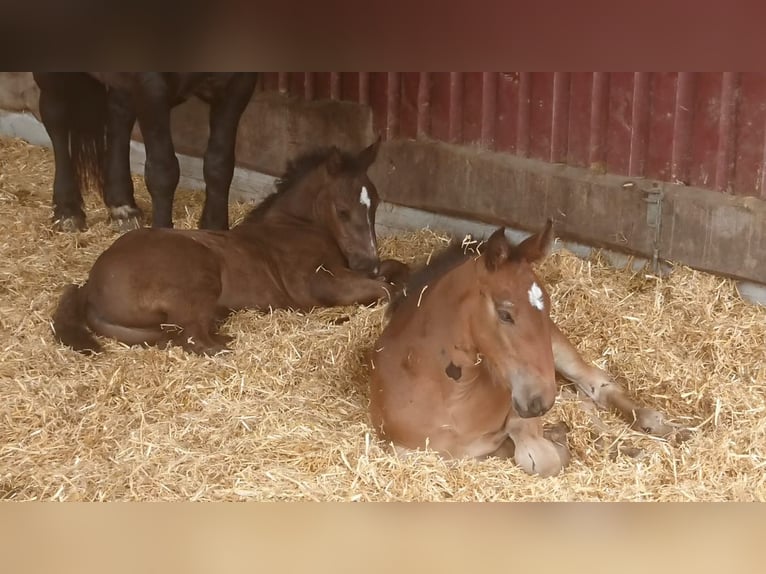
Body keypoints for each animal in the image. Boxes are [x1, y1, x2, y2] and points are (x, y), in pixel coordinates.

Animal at [52, 140, 414, 356]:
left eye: (375, 204)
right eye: (342, 210)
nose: (367, 261)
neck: (296, 226)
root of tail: (89, 286)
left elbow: (398, 270)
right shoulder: (318, 282)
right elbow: (385, 289)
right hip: (197, 278)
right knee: (195, 339)